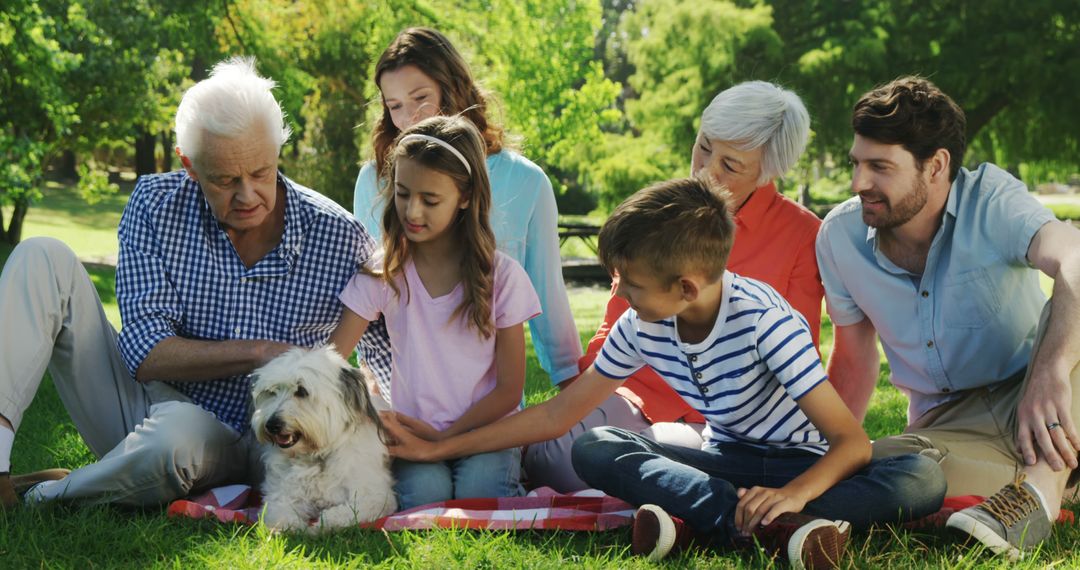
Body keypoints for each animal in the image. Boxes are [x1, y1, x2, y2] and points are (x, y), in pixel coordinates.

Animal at [249, 345, 397, 531]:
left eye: (301, 391)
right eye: (271, 392)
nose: (272, 424)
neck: (318, 455)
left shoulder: (374, 496)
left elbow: (348, 511)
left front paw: (324, 523)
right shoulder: (281, 493)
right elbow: (280, 510)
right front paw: (288, 527)